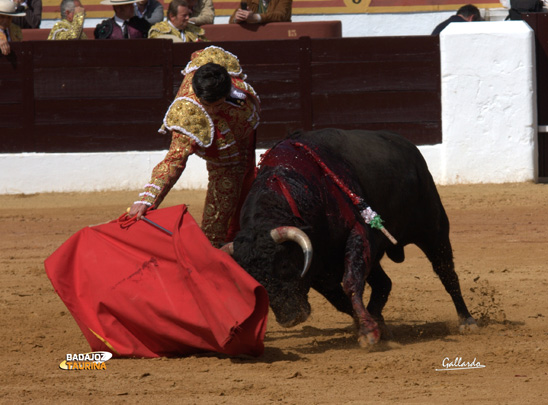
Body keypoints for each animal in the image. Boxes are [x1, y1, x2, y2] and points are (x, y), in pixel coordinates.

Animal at [227, 128, 476, 346]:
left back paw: (466, 320)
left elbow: (351, 283)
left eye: (285, 265)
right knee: (384, 283)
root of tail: (407, 145)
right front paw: (368, 327)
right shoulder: (317, 267)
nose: (290, 318)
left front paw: (367, 332)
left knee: (446, 272)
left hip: (433, 230)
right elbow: (340, 299)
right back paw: (380, 321)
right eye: (254, 280)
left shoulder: (358, 232)